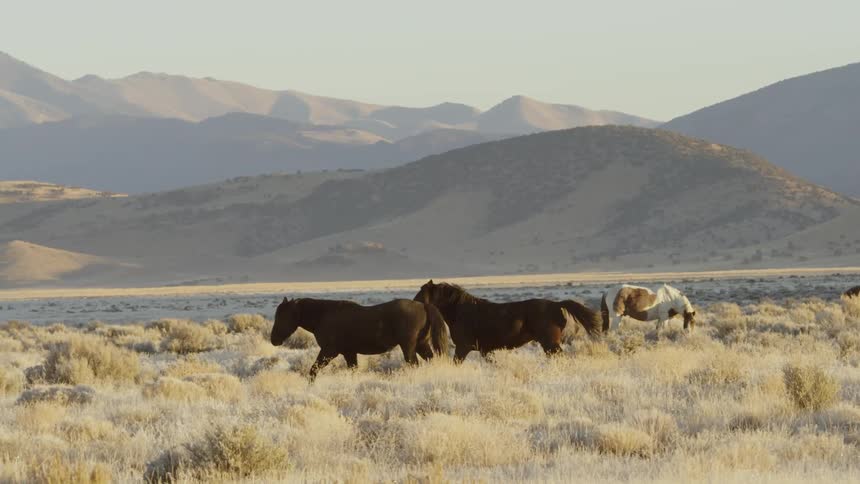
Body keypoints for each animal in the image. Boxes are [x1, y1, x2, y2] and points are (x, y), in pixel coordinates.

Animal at [271, 297, 449, 380]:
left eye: (283, 316)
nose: (274, 339)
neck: (324, 315)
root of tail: (423, 305)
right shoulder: (349, 353)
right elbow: (353, 370)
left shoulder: (329, 351)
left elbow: (313, 370)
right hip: (421, 345)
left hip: (409, 347)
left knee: (414, 364)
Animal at [413, 280, 602, 363]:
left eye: (421, 292)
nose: (413, 303)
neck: (461, 310)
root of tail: (556, 304)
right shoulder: (485, 350)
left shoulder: (463, 347)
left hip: (550, 344)